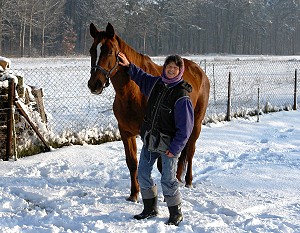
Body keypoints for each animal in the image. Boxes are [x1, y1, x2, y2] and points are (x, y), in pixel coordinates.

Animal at [88, 22, 210, 202]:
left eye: (109, 51)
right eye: (92, 51)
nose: (94, 84)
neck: (133, 93)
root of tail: (200, 71)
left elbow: (160, 165)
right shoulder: (126, 132)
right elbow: (132, 162)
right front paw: (134, 194)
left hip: (196, 125)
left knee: (190, 151)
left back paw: (188, 181)